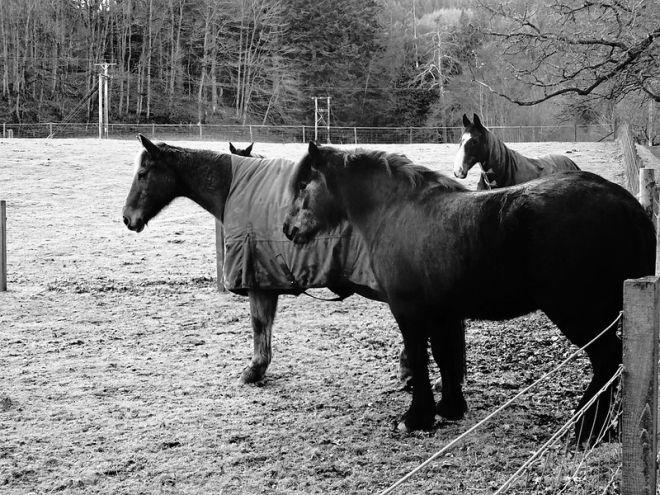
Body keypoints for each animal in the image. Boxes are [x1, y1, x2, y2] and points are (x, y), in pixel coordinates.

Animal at [284, 141, 656, 444]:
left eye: (303, 185)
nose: (289, 229)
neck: (396, 211)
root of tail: (625, 204)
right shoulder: (441, 311)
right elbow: (444, 356)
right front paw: (450, 408)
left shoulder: (408, 310)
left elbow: (419, 359)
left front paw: (416, 418)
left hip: (578, 313)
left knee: (607, 359)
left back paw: (586, 430)